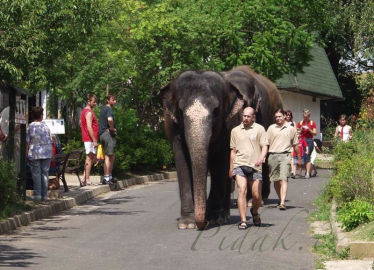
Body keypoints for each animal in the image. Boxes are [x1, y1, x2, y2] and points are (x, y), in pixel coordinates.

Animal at [161, 65, 284, 230]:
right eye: (180, 111)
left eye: (216, 111)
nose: (202, 224)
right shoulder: (172, 124)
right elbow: (182, 160)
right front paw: (187, 224)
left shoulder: (234, 121)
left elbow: (221, 161)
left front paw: (214, 220)